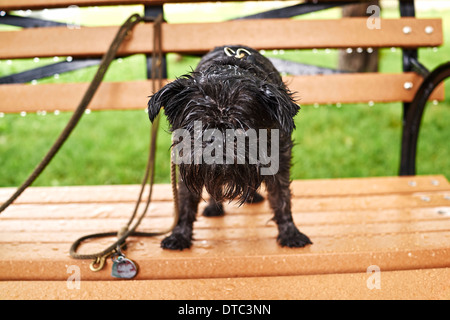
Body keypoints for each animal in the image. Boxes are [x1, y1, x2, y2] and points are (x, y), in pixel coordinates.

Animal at [148, 45, 312, 250]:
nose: (217, 140)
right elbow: (186, 201)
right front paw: (179, 235)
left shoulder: (279, 159)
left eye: (242, 129)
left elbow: (281, 198)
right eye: (197, 127)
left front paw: (290, 233)